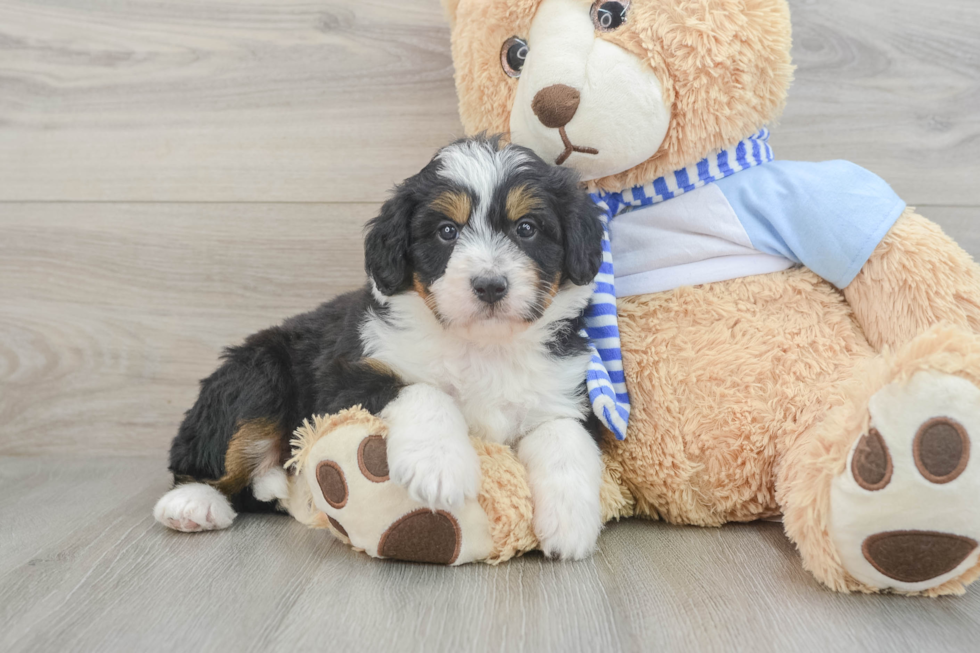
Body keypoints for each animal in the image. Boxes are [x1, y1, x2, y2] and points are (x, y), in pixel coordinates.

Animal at [154, 135, 608, 556]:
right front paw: (439, 465)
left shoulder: (562, 391)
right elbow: (423, 390)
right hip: (255, 374)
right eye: (446, 232)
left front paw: (570, 521)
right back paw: (193, 503)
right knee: (206, 458)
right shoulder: (346, 380)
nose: (490, 285)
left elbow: (564, 436)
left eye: (526, 228)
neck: (481, 347)